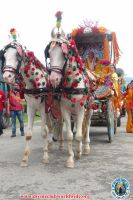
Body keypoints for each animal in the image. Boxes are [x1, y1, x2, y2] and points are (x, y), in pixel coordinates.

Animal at [46, 38, 92, 168]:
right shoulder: (65, 110)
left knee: (87, 125)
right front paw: (71, 158)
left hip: (89, 109)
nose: (53, 79)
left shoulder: (81, 110)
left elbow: (79, 134)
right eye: (49, 54)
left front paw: (79, 152)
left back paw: (86, 147)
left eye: (63, 54)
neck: (73, 84)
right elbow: (71, 136)